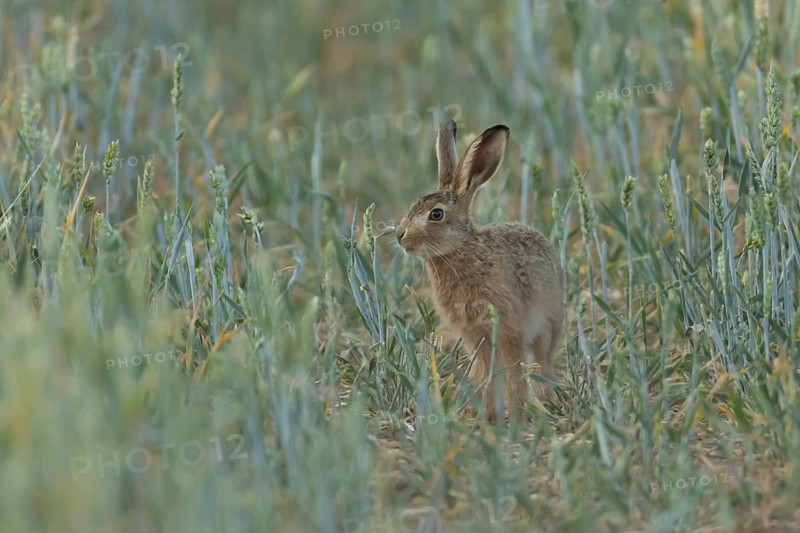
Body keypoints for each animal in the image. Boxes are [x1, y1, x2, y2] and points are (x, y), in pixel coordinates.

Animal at [395, 119, 564, 420]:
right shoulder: (477, 337)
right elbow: (487, 374)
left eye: (436, 214)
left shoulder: (509, 329)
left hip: (544, 329)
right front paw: (486, 415)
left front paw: (515, 415)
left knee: (541, 363)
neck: (460, 249)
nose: (400, 236)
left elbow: (514, 374)